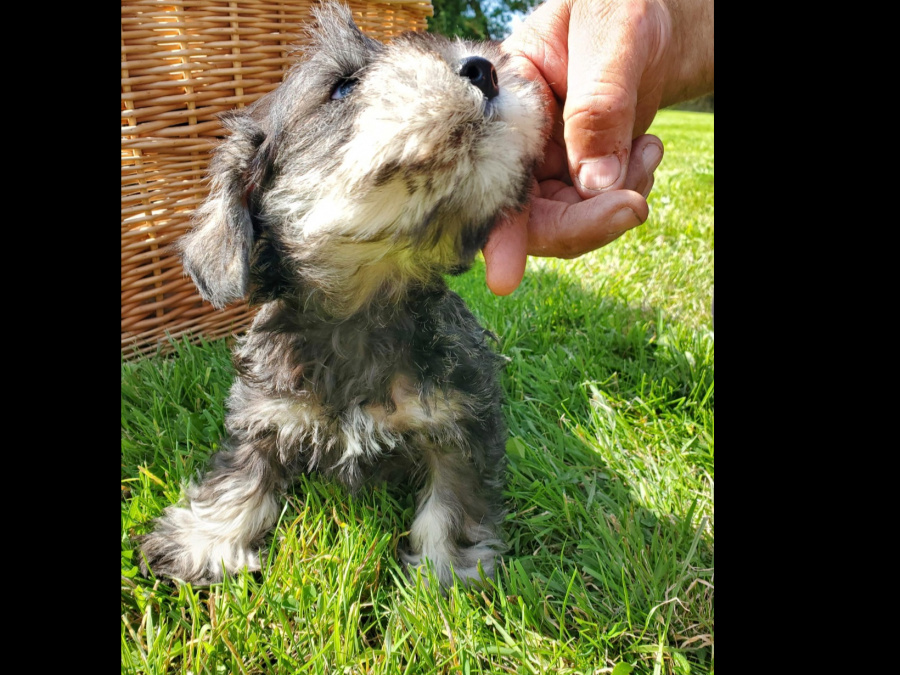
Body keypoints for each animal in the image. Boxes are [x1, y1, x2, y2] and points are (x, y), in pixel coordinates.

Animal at [138, 2, 544, 588]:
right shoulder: (262, 415)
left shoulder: (460, 422)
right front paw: (204, 541)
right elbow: (238, 480)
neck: (365, 309)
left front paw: (446, 574)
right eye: (343, 87)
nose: (482, 69)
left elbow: (451, 503)